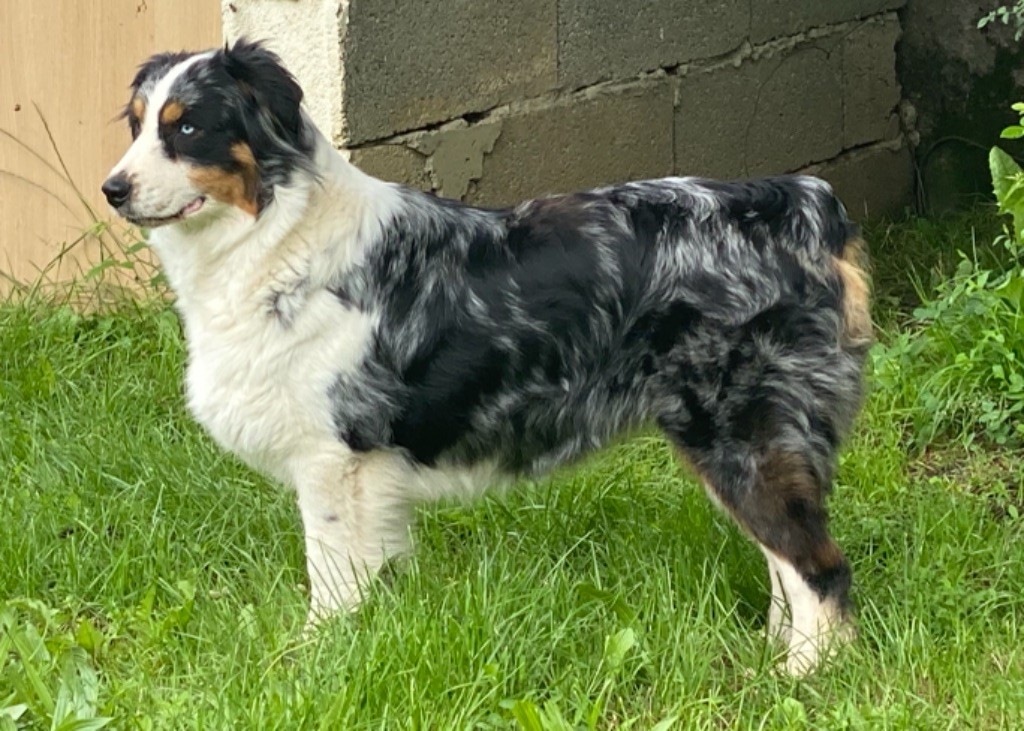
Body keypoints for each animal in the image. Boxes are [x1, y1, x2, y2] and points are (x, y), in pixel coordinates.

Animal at [105, 39, 872, 671]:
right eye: (137, 124)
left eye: (188, 126)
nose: (113, 190)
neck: (279, 235)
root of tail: (805, 203)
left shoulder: (333, 458)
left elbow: (331, 580)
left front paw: (314, 657)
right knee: (786, 560)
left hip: (743, 435)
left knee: (819, 566)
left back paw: (800, 677)